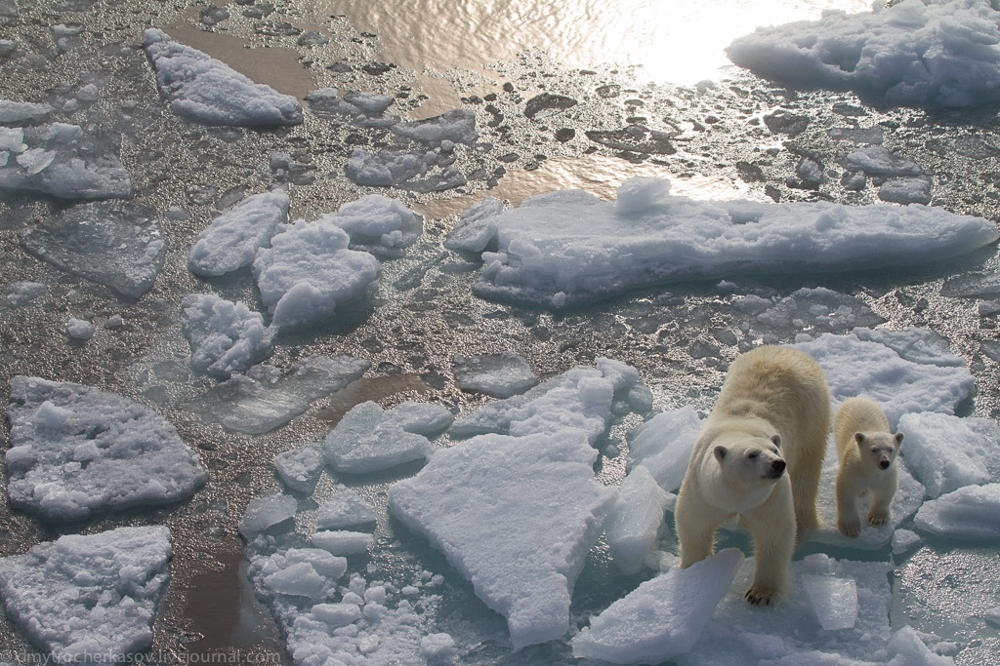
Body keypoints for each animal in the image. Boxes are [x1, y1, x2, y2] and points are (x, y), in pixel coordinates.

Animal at [676, 344, 832, 604]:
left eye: (774, 449)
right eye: (751, 454)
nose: (778, 464)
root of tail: (788, 351)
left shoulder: (769, 498)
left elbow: (774, 533)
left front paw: (760, 594)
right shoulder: (703, 491)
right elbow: (693, 525)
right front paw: (695, 573)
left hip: (813, 416)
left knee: (805, 476)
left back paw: (803, 528)